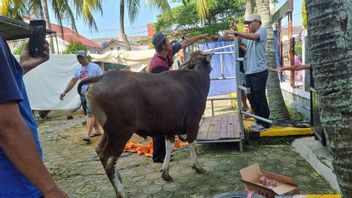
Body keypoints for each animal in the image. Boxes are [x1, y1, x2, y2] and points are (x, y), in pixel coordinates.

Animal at [77, 50, 212, 196]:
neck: (196, 76)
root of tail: (102, 77)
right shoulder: (193, 123)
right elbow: (193, 145)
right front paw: (197, 167)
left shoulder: (170, 128)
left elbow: (169, 147)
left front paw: (165, 172)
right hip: (121, 133)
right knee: (108, 158)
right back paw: (121, 192)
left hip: (109, 132)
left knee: (99, 151)